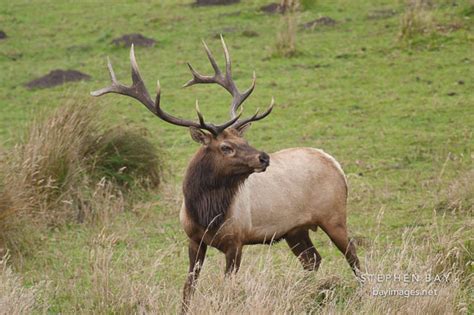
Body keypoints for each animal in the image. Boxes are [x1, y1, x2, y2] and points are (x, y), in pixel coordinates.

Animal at [91, 37, 360, 314]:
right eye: (226, 147)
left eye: (244, 140)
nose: (264, 158)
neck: (206, 214)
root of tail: (334, 163)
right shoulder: (193, 239)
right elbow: (189, 286)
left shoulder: (236, 240)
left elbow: (227, 288)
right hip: (295, 230)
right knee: (312, 259)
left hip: (333, 215)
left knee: (352, 254)